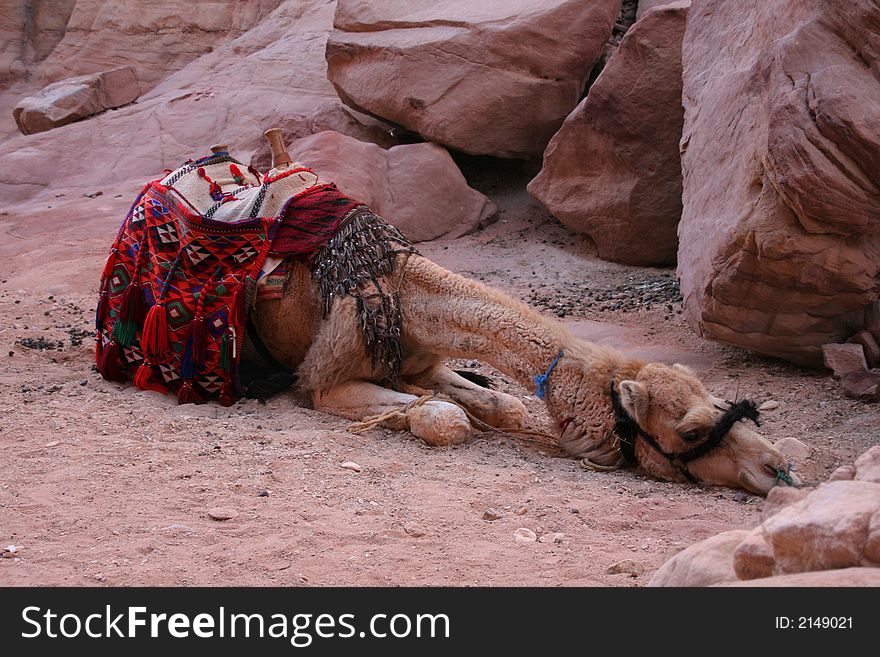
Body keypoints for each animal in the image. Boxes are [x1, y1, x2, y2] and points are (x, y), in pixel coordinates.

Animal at [239, 132, 796, 492]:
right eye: (690, 431)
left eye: (723, 403)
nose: (778, 468)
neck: (406, 292)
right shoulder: (322, 380)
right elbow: (449, 417)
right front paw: (422, 411)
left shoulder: (425, 358)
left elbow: (504, 404)